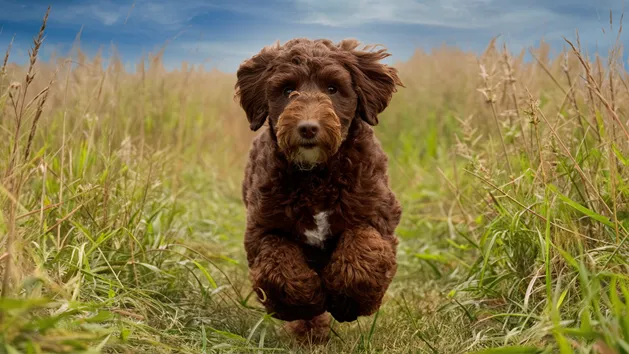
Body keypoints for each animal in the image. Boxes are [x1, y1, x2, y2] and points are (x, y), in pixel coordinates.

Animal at [234, 38, 402, 340]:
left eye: (332, 88)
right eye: (287, 89)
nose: (308, 128)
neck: (316, 177)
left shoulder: (376, 216)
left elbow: (363, 251)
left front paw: (348, 302)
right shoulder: (263, 228)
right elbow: (277, 268)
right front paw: (306, 303)